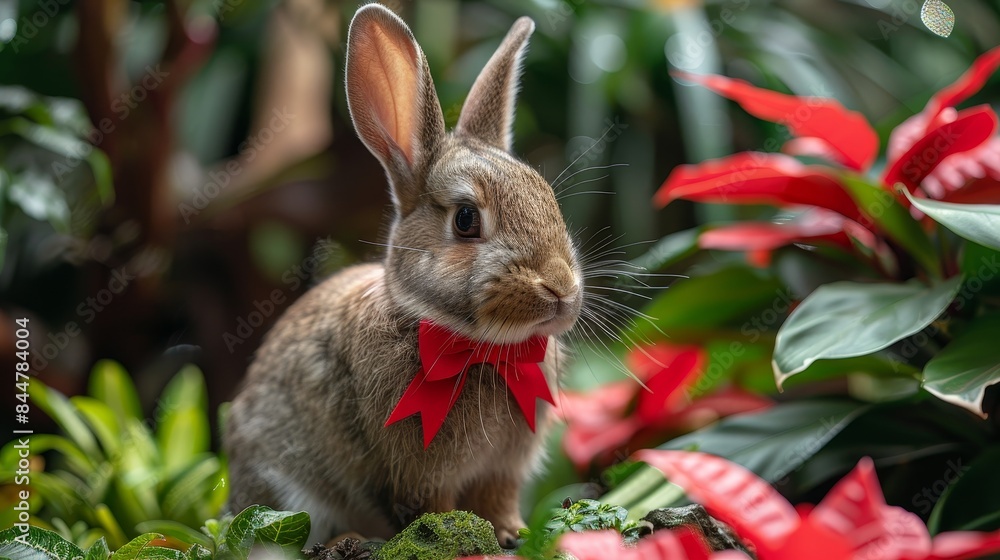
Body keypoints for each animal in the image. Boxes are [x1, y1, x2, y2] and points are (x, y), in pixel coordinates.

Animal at [224, 3, 582, 549]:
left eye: (548, 198)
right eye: (466, 219)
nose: (561, 289)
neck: (478, 349)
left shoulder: (503, 471)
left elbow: (498, 501)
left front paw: (511, 534)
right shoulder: (418, 474)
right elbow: (433, 509)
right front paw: (459, 539)